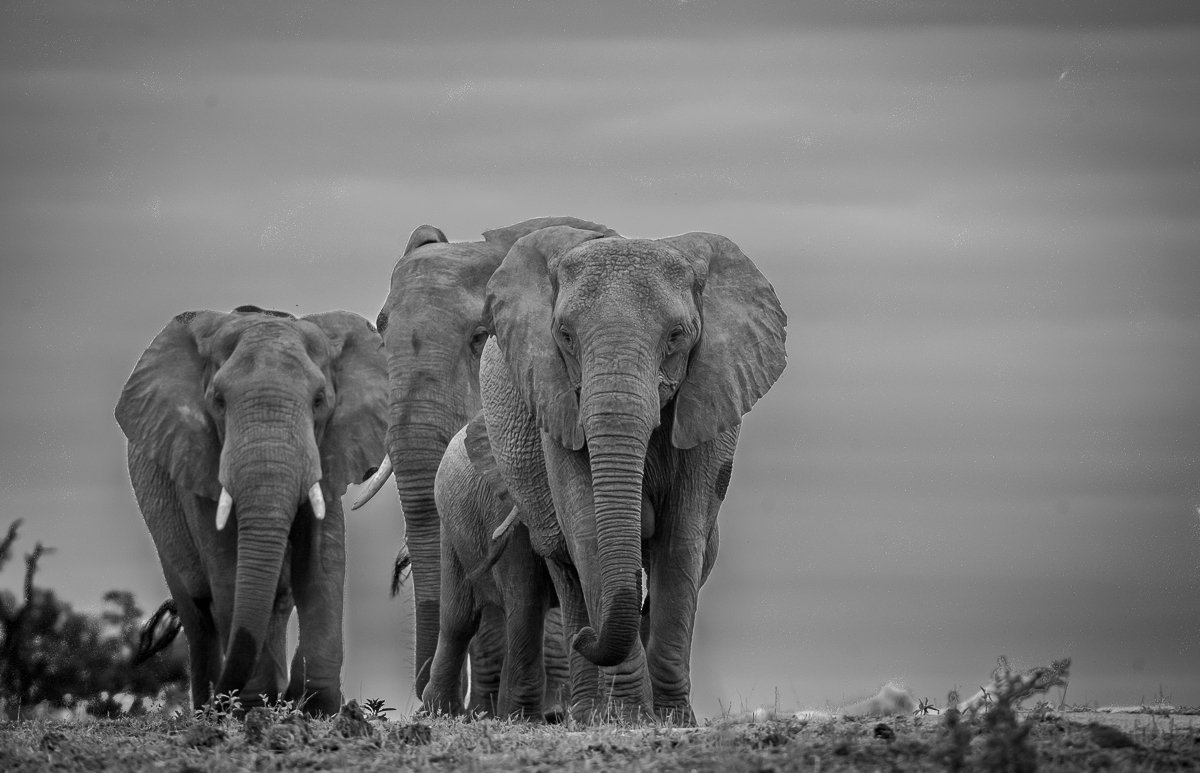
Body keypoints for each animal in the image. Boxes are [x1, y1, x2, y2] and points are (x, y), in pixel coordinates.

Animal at [115, 305, 387, 715]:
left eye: (319, 401)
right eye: (218, 402)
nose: (144, 645)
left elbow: (323, 561)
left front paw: (318, 708)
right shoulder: (197, 458)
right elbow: (227, 563)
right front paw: (249, 708)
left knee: (274, 600)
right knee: (199, 613)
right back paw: (215, 705)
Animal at [478, 226, 787, 723]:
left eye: (677, 335)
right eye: (564, 335)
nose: (585, 641)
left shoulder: (711, 395)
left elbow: (681, 539)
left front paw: (673, 719)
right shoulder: (555, 400)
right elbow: (586, 530)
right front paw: (631, 718)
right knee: (565, 565)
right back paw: (588, 711)